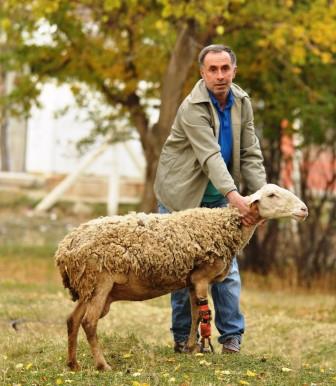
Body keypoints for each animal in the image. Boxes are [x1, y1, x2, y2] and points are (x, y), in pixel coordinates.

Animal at [54, 184, 308, 370]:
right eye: (272, 195)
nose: (304, 210)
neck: (225, 225)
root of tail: (65, 248)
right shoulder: (202, 277)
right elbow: (204, 314)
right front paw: (198, 346)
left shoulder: (192, 280)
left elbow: (196, 314)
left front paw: (191, 348)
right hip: (99, 282)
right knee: (89, 322)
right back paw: (102, 365)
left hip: (87, 285)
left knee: (72, 320)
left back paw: (73, 364)